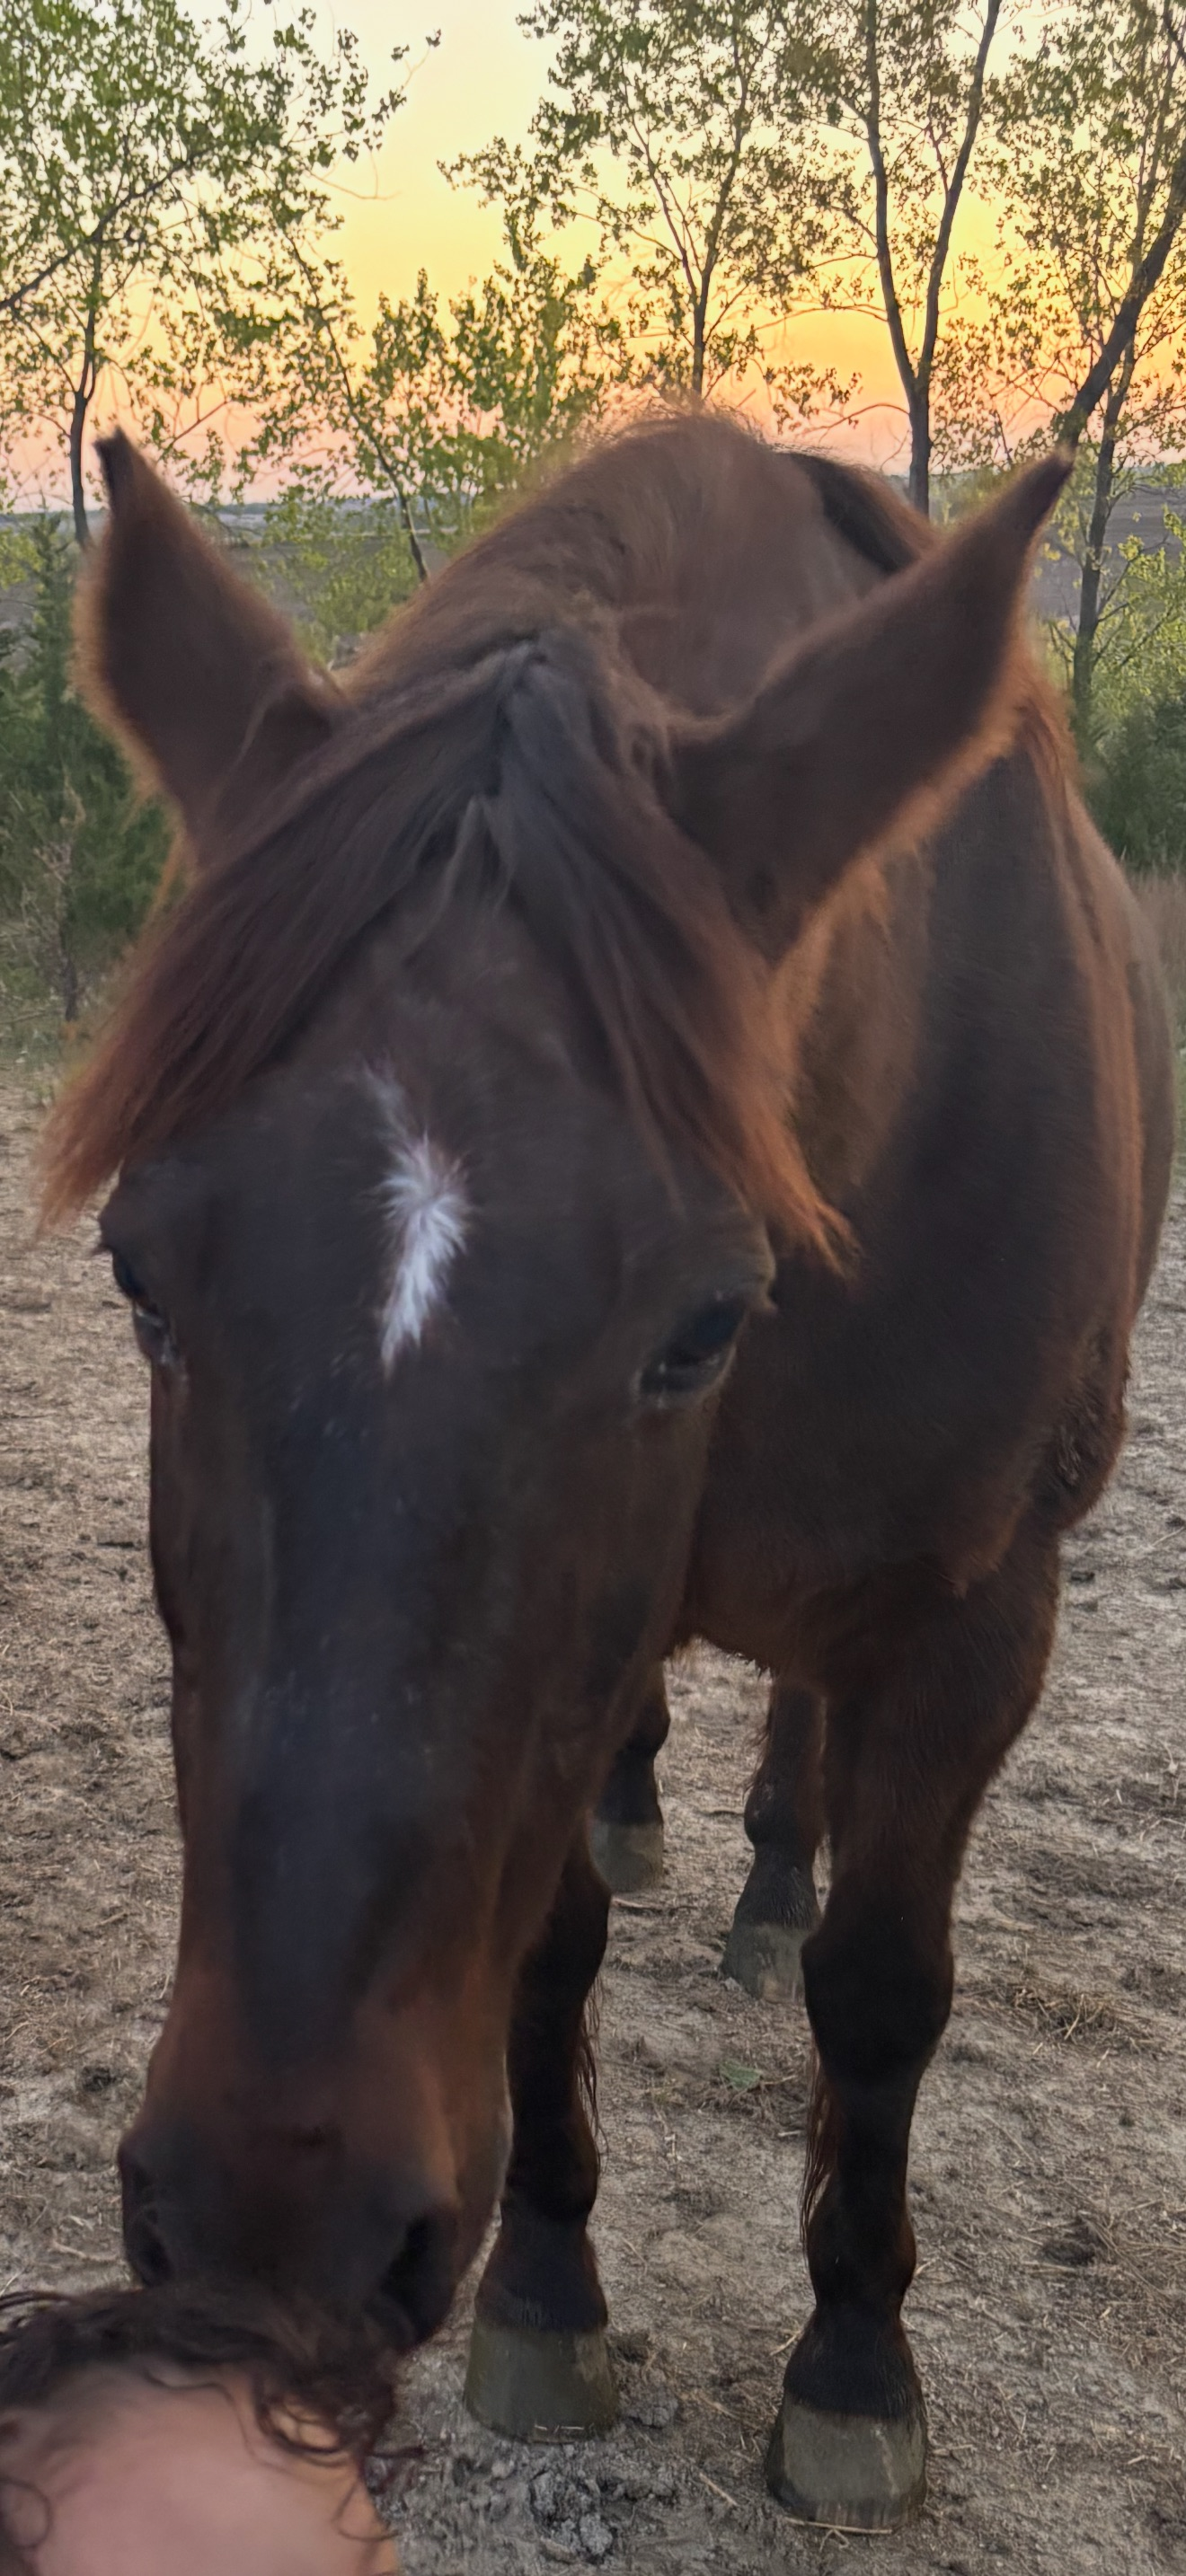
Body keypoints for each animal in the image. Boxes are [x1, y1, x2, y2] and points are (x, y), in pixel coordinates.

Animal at [43, 413, 1174, 2533]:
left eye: (705, 1322)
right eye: (142, 1274)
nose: (277, 2223)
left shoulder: (986, 1617)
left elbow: (886, 1987)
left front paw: (852, 2367)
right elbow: (547, 1947)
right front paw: (550, 2296)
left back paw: (771, 1883)